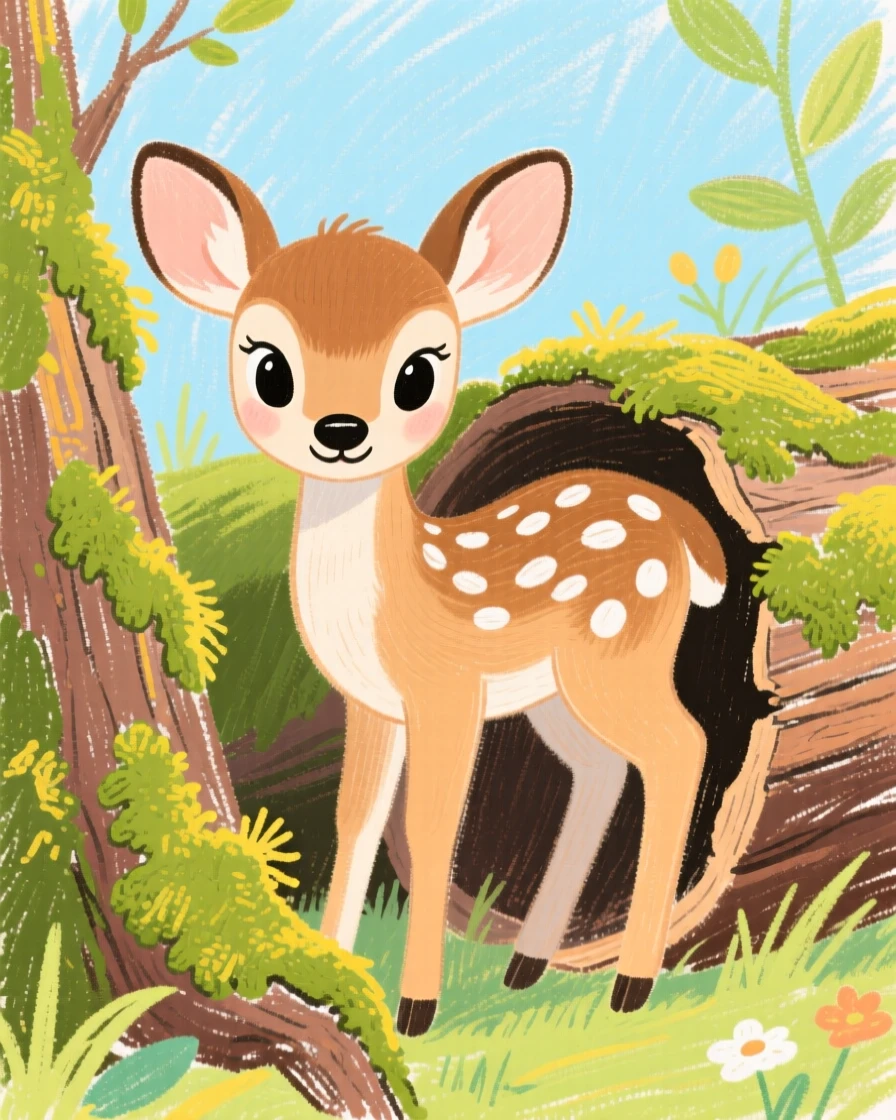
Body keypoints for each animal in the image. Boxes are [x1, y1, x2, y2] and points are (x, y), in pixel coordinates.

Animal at [132, 140, 727, 1037]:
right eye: (269, 367)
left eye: (418, 372)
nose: (341, 432)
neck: (391, 602)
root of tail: (690, 533)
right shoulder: (373, 704)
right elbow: (357, 819)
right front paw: (335, 975)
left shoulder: (447, 689)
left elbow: (432, 822)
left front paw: (415, 1008)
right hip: (554, 694)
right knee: (602, 771)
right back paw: (526, 966)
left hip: (618, 656)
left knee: (680, 748)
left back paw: (632, 983)